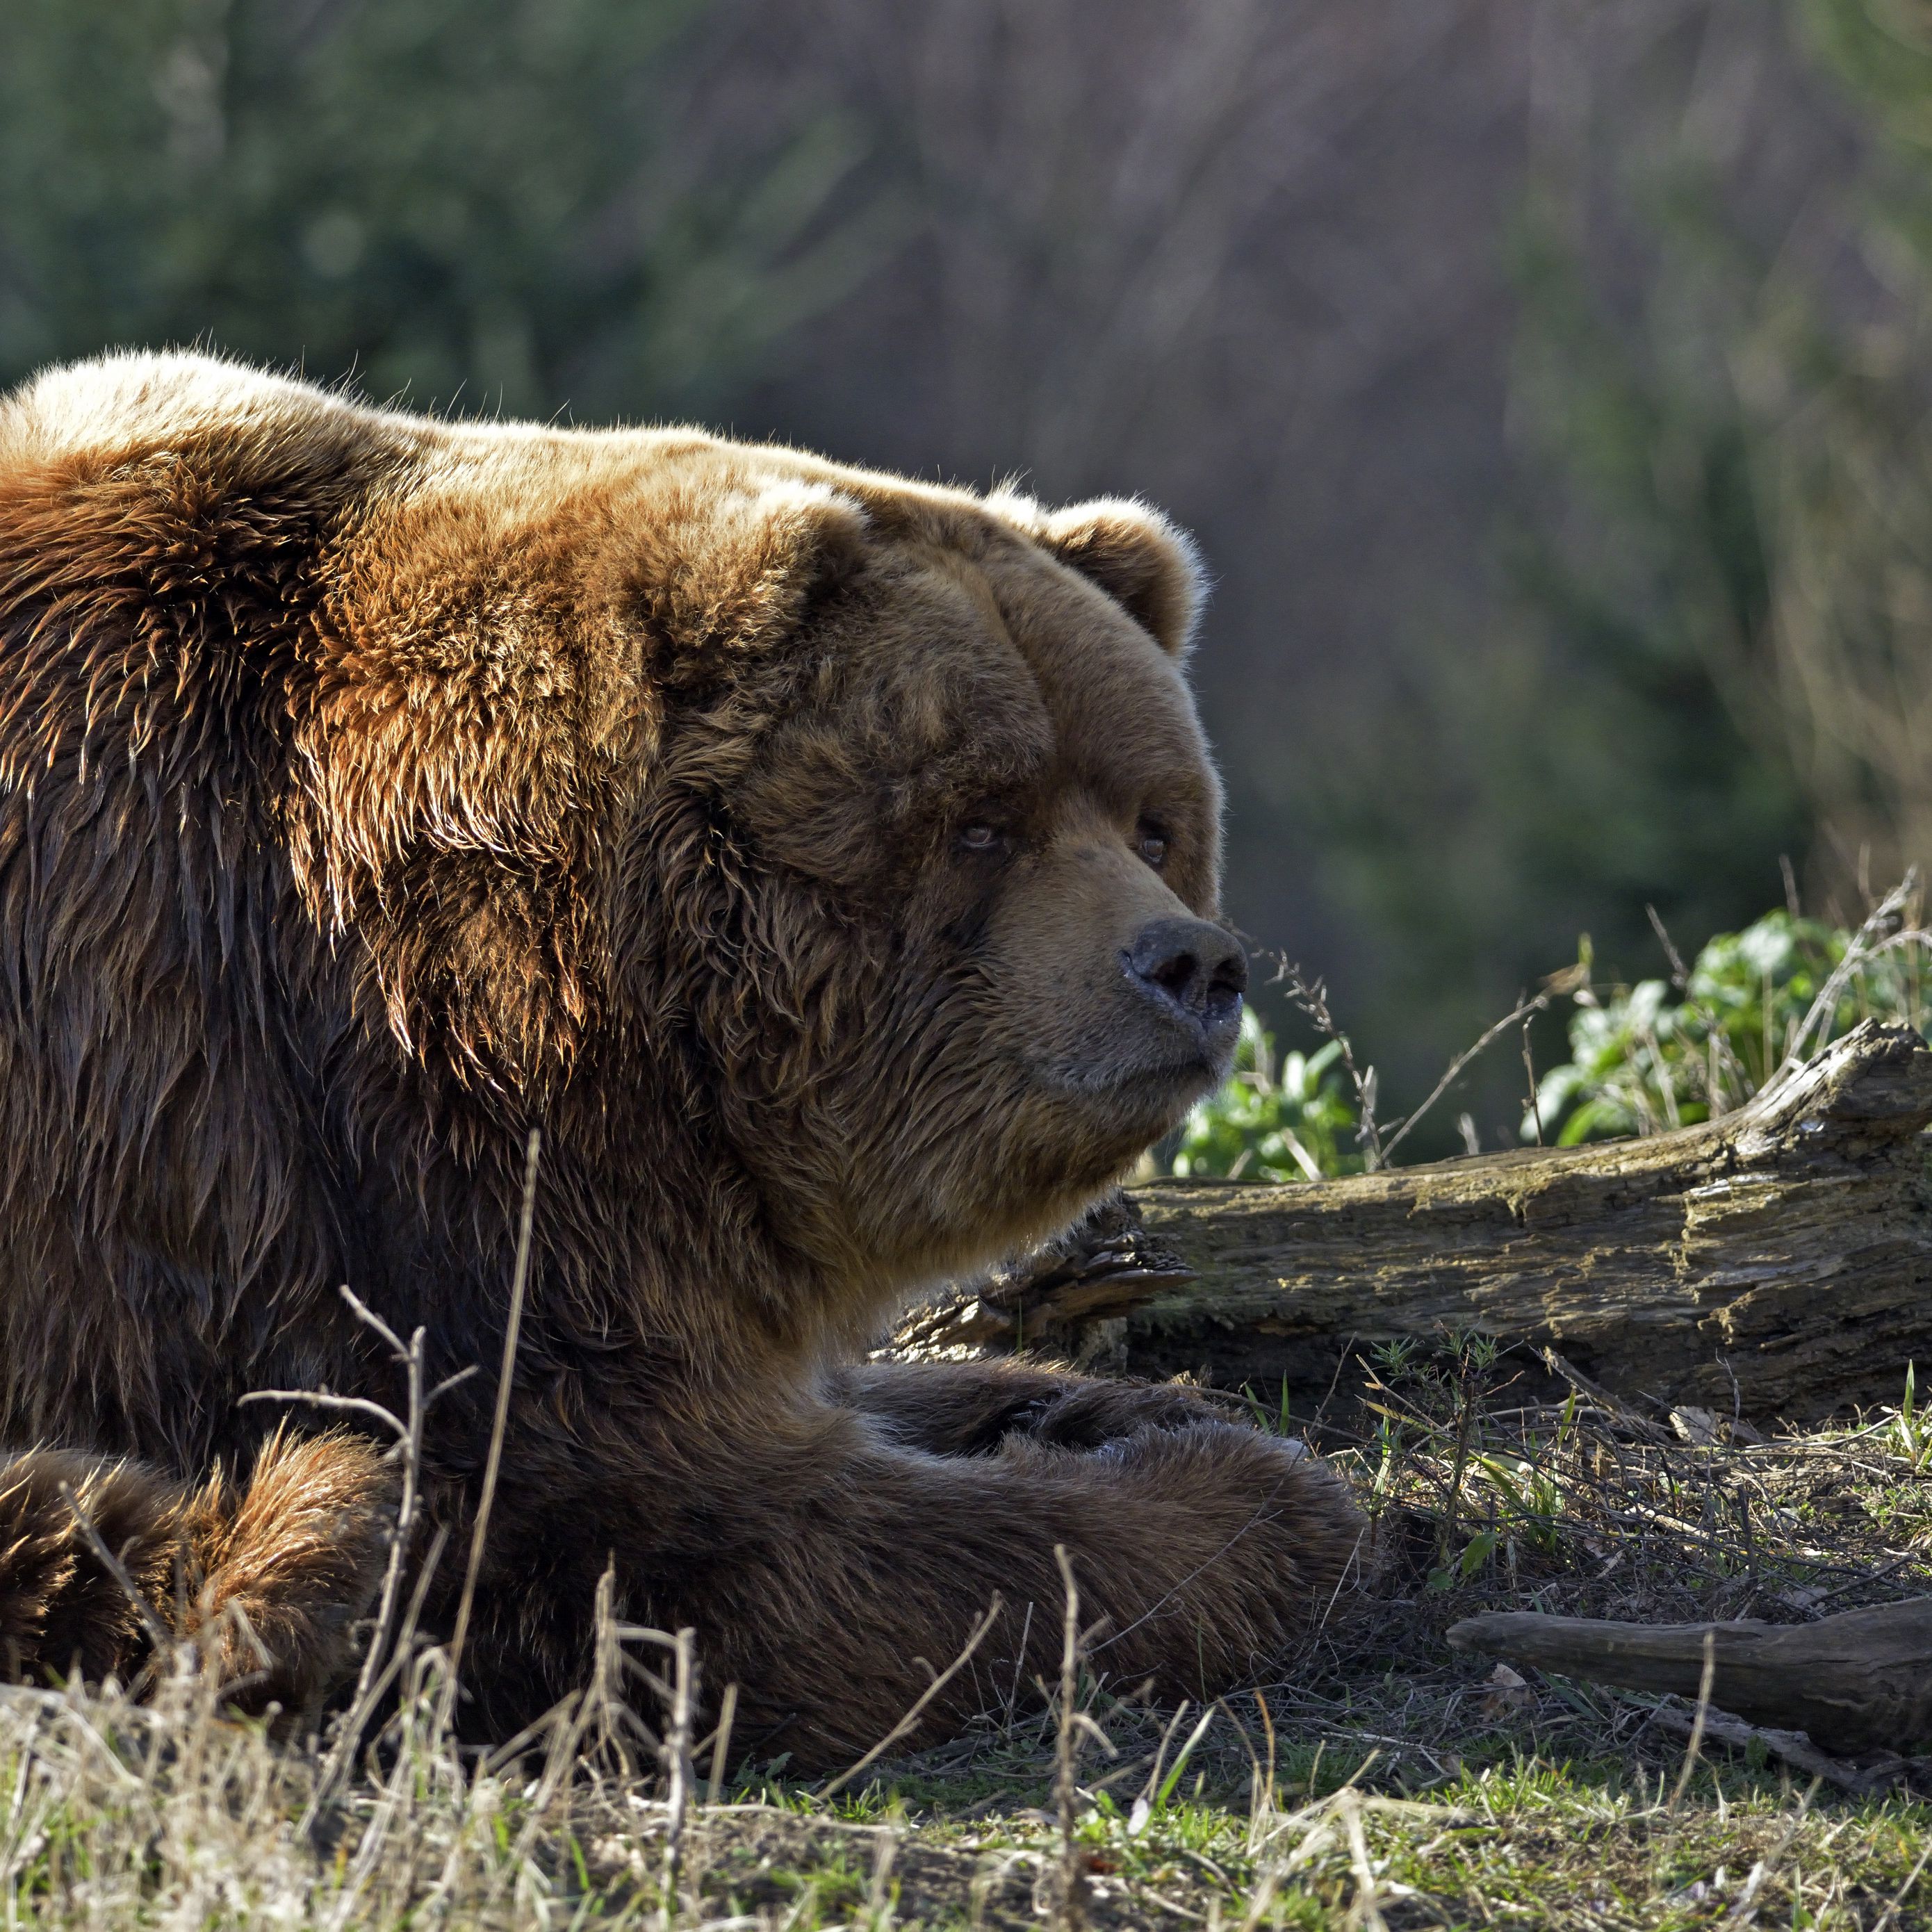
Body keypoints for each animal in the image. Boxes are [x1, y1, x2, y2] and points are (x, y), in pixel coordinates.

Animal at [0, 351, 1368, 1769]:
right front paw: (1239, 1503)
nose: (1188, 965)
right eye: (984, 820)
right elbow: (696, 1544)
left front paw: (1096, 1407)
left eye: (1154, 822)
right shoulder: (369, 1186)